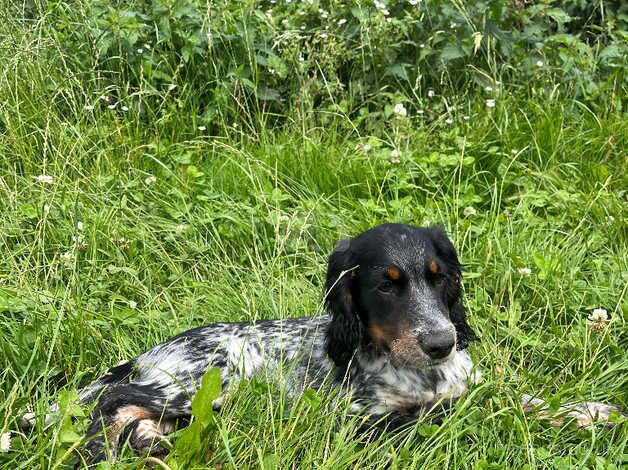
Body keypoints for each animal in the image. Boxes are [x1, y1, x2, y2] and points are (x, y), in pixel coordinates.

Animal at [20, 224, 624, 462]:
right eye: (386, 285)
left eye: (440, 277)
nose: (442, 342)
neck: (418, 370)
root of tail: (143, 357)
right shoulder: (360, 421)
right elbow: (444, 413)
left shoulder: (465, 381)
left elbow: (514, 398)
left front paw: (590, 410)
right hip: (207, 383)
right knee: (110, 403)